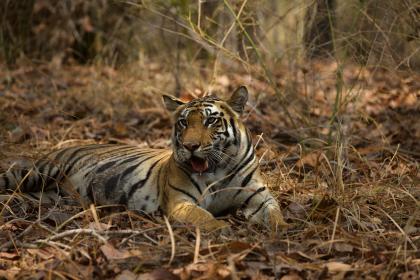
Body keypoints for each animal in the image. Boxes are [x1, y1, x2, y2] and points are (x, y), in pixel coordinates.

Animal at [0, 86, 288, 233]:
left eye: (210, 121)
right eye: (183, 123)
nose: (190, 146)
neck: (218, 169)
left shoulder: (260, 196)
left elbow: (275, 213)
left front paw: (281, 228)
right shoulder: (181, 203)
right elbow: (205, 217)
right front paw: (222, 228)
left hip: (46, 195)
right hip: (38, 172)